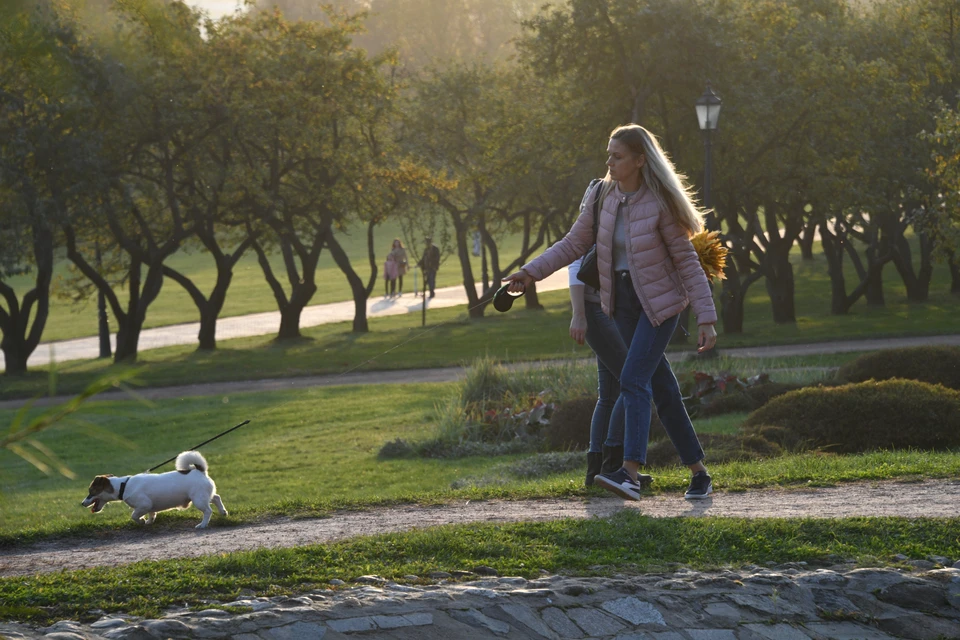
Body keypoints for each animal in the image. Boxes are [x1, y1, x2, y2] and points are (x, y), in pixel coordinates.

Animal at [80, 448, 227, 528]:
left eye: (91, 492)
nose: (82, 503)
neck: (123, 485)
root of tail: (199, 471)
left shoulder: (143, 505)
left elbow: (134, 515)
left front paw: (141, 521)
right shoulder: (149, 506)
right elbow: (152, 513)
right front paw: (149, 521)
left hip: (198, 499)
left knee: (208, 511)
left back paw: (203, 524)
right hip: (204, 495)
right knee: (216, 497)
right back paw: (223, 512)